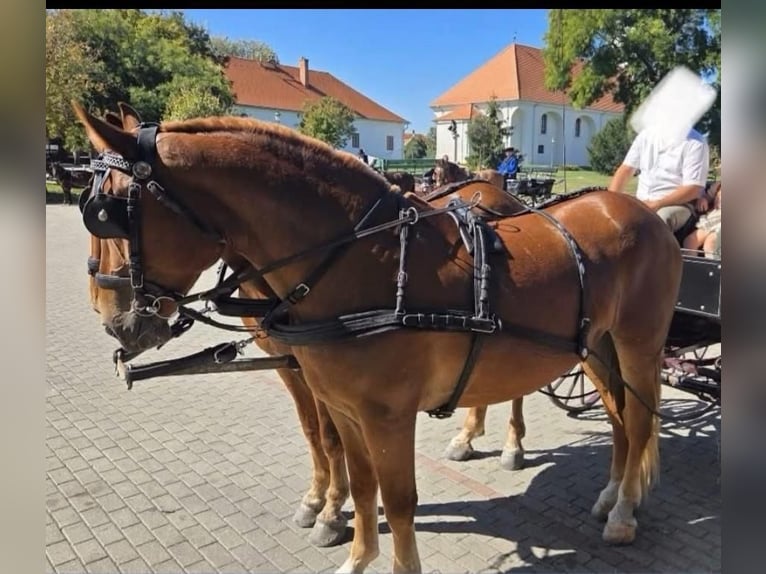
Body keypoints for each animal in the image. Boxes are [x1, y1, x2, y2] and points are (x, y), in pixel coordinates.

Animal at [74, 103, 682, 574]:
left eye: (106, 213)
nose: (110, 315)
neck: (360, 258)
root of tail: (643, 212)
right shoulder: (341, 403)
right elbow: (360, 481)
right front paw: (345, 536)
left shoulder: (387, 414)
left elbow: (398, 498)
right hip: (597, 347)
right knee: (621, 419)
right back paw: (611, 494)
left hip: (638, 344)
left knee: (641, 420)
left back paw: (622, 512)